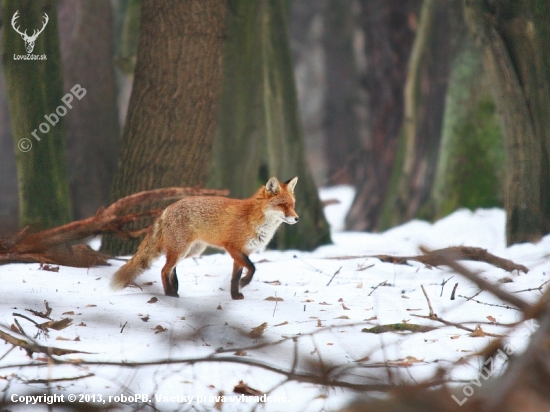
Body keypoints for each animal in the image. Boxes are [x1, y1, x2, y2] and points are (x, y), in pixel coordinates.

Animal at [110, 176, 300, 300]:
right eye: (283, 205)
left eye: (293, 205)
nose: (297, 218)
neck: (253, 218)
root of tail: (166, 209)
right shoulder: (233, 248)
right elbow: (252, 269)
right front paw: (245, 283)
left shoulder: (241, 253)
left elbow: (235, 277)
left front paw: (235, 295)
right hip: (181, 250)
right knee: (164, 270)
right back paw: (170, 294)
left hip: (191, 251)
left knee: (170, 268)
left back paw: (175, 289)